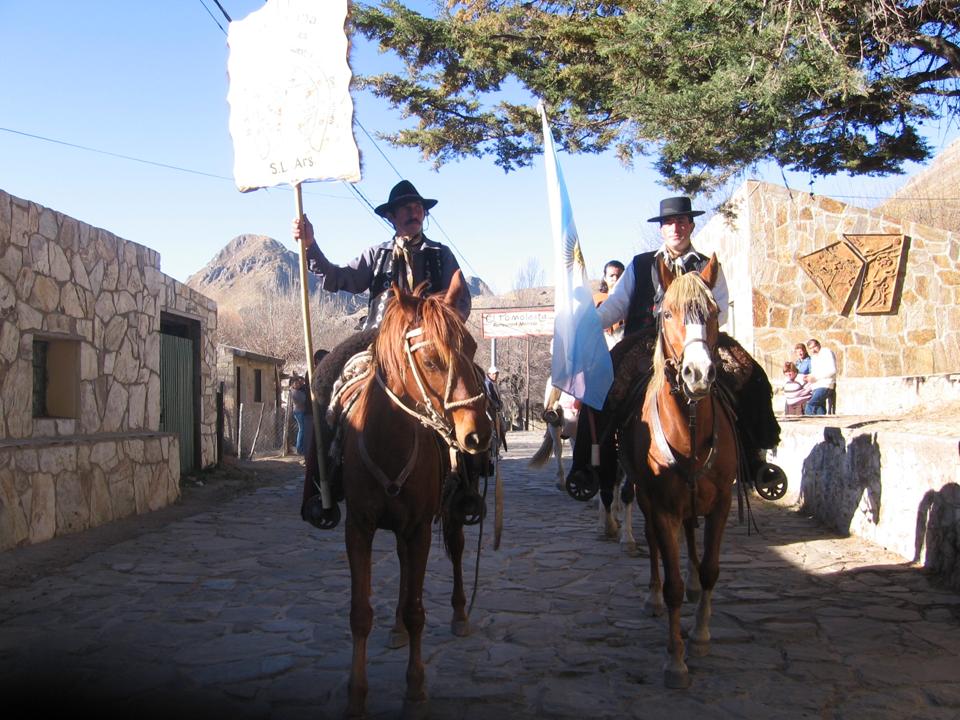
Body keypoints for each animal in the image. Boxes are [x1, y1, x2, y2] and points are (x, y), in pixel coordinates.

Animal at [338, 272, 492, 720]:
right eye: (431, 360)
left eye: (471, 348)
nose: (477, 435)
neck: (387, 440)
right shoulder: (359, 528)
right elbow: (360, 613)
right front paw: (356, 695)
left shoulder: (421, 527)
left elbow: (417, 608)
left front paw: (415, 688)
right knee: (405, 572)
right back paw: (395, 629)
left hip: (447, 515)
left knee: (455, 551)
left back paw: (458, 613)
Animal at [620, 256, 740, 688]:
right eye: (667, 313)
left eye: (714, 312)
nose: (698, 374)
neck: (688, 430)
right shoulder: (661, 506)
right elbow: (671, 581)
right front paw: (675, 660)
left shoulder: (720, 504)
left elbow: (710, 570)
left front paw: (701, 634)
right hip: (646, 498)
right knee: (656, 547)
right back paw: (652, 596)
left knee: (691, 538)